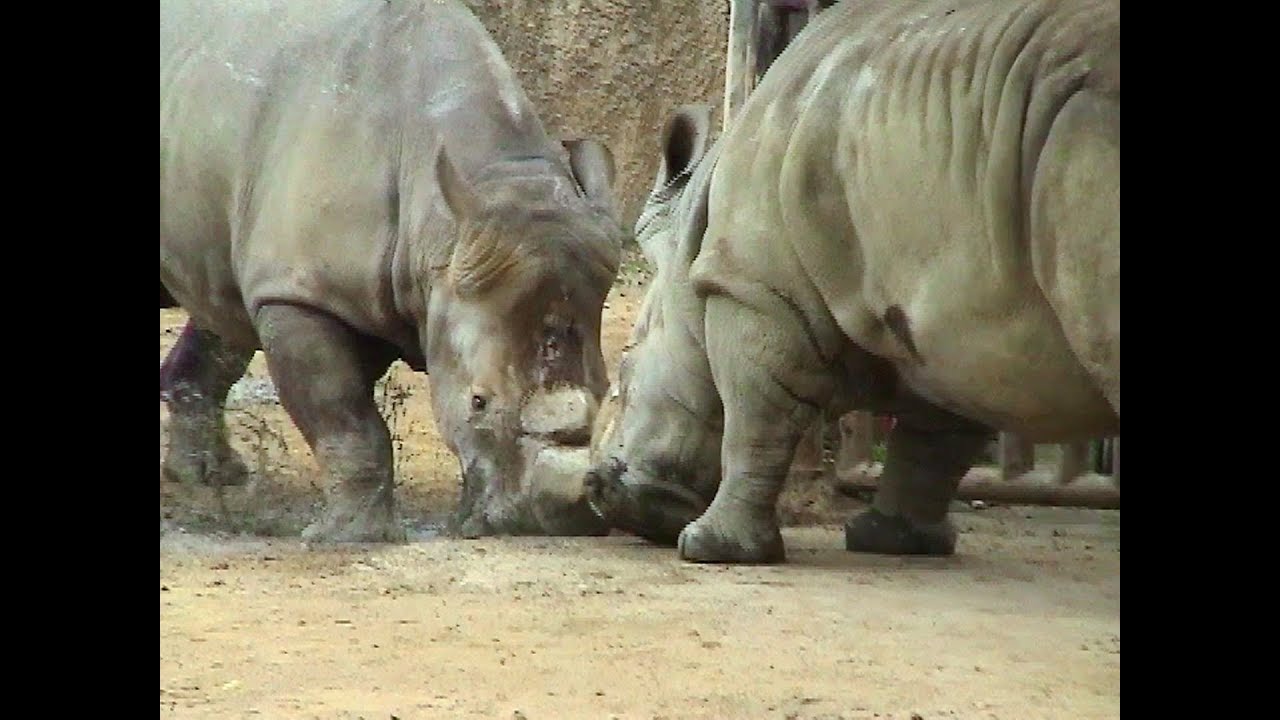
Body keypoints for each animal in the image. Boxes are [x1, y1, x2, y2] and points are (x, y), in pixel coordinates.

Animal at [159, 0, 624, 542]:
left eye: (606, 394)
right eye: (478, 402)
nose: (557, 522)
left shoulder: (384, 290)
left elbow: (349, 411)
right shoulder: (302, 290)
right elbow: (345, 415)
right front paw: (348, 538)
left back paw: (213, 478)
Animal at [585, 0, 1119, 563]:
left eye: (624, 372)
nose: (602, 496)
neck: (693, 244)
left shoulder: (758, 290)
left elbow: (754, 422)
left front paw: (711, 547)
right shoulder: (955, 319)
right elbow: (936, 438)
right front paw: (894, 542)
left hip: (1083, 130)